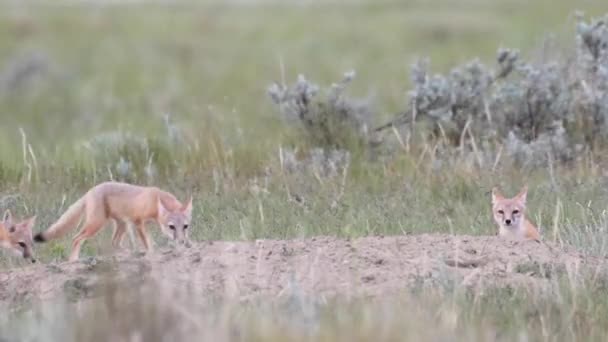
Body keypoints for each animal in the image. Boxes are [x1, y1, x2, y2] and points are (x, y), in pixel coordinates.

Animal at [32, 182, 192, 262]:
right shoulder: (137, 222)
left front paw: (188, 245)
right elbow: (147, 242)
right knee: (76, 238)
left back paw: (129, 252)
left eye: (185, 226)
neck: (154, 200)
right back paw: (73, 261)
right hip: (96, 224)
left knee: (114, 243)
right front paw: (151, 252)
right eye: (171, 227)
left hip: (121, 225)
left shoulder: (137, 223)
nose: (181, 241)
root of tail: (90, 191)